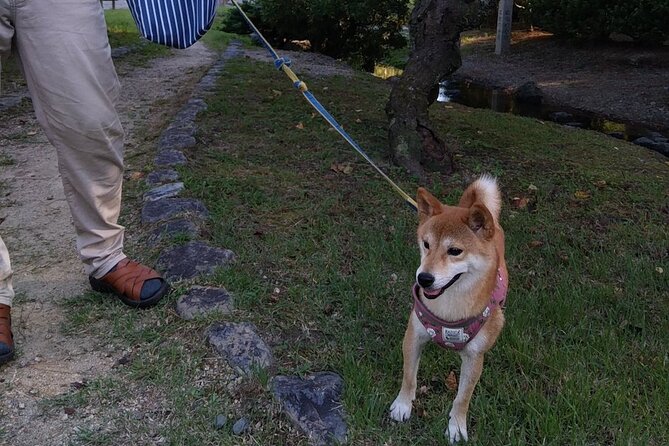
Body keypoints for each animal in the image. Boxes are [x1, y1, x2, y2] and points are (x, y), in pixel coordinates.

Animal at [386, 174, 506, 442]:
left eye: (455, 251)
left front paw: (456, 426)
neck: (449, 308)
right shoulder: (414, 335)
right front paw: (403, 405)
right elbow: (409, 377)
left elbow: (463, 398)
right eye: (426, 244)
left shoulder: (474, 357)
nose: (424, 278)